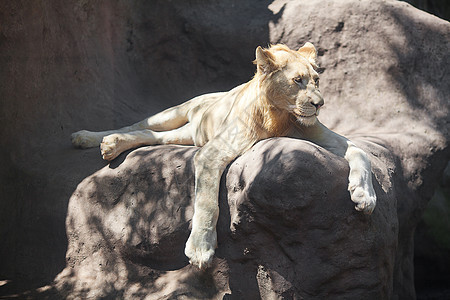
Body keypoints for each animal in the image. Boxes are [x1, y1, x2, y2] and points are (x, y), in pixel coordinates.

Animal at [73, 42, 376, 270]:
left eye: (316, 80)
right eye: (297, 81)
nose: (319, 104)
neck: (280, 118)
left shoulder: (321, 135)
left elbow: (360, 151)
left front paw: (364, 195)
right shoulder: (212, 151)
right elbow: (207, 201)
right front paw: (201, 249)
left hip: (187, 135)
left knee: (150, 135)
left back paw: (112, 145)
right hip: (175, 113)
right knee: (139, 124)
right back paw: (89, 138)